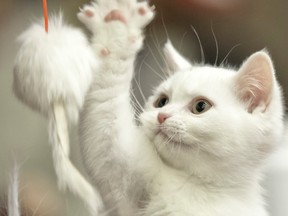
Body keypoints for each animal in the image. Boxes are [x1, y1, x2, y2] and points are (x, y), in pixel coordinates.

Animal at [77, 0, 284, 215]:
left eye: (200, 106)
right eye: (161, 101)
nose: (162, 115)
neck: (206, 188)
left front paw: (119, 26)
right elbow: (104, 125)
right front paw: (115, 25)